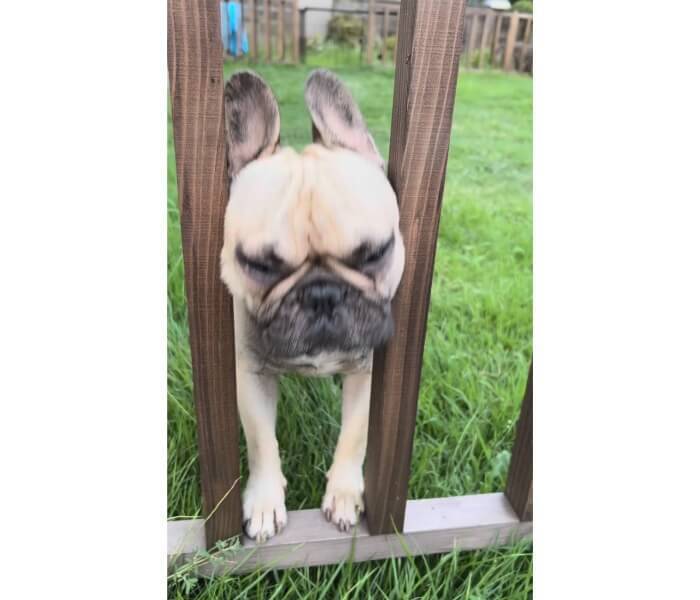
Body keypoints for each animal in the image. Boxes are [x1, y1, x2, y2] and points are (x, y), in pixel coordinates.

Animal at [220, 69, 405, 542]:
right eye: (259, 264)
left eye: (375, 252)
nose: (323, 294)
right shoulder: (251, 375)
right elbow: (261, 441)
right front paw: (265, 502)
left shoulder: (366, 371)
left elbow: (355, 435)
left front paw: (343, 494)